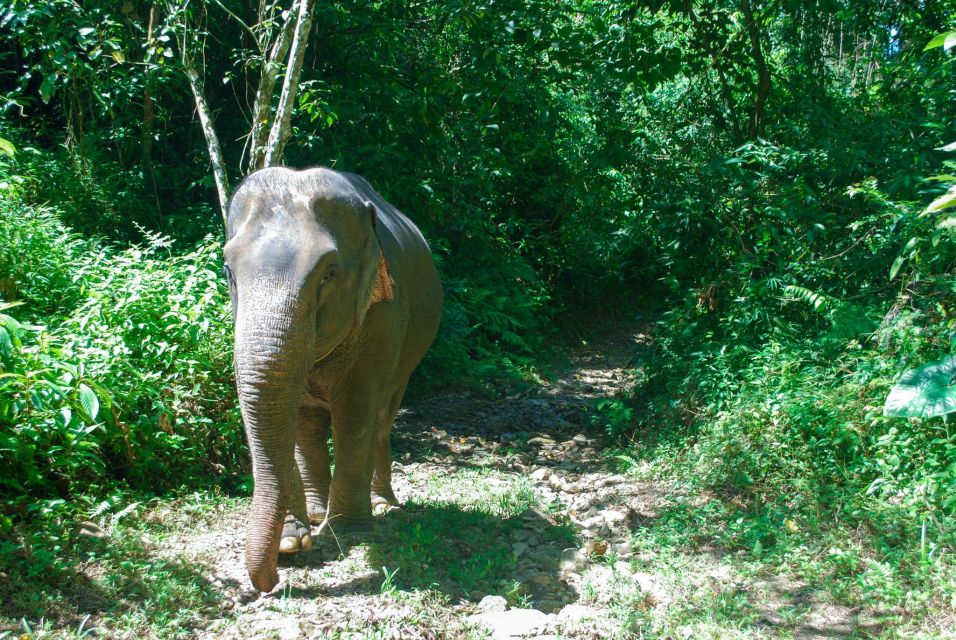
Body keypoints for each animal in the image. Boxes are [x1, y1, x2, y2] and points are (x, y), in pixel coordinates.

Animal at [224, 168, 444, 592]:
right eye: (228, 271)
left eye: (328, 274)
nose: (274, 577)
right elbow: (292, 417)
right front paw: (295, 537)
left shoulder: (384, 315)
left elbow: (355, 414)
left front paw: (348, 532)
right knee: (310, 426)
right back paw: (316, 510)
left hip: (410, 356)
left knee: (381, 420)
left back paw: (382, 504)